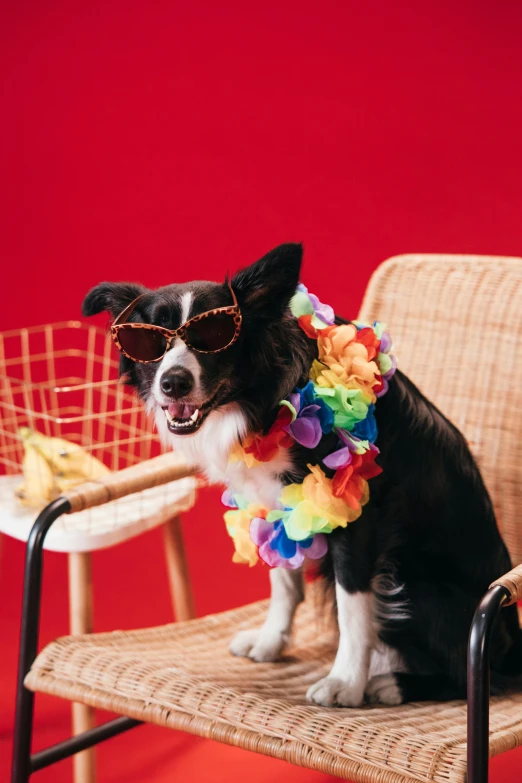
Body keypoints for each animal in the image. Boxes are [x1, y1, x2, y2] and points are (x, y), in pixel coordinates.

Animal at [82, 242, 520, 708]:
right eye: (149, 341)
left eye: (215, 337)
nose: (173, 382)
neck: (262, 401)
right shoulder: (275, 503)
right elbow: (284, 580)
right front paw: (271, 642)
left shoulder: (360, 514)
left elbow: (353, 604)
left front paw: (345, 682)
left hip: (417, 585)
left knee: (479, 676)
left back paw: (393, 684)